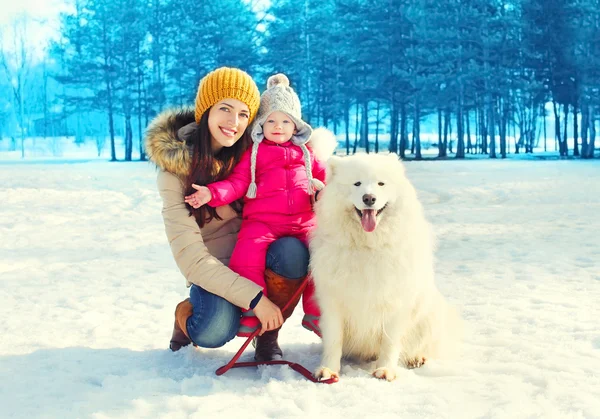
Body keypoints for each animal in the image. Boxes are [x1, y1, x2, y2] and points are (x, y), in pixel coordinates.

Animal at [308, 153, 462, 382]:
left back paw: (416, 358)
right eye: (357, 183)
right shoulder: (334, 302)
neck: (367, 246)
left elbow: (390, 341)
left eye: (381, 184)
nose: (369, 198)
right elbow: (334, 340)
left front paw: (385, 370)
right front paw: (328, 370)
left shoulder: (396, 302)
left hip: (428, 316)